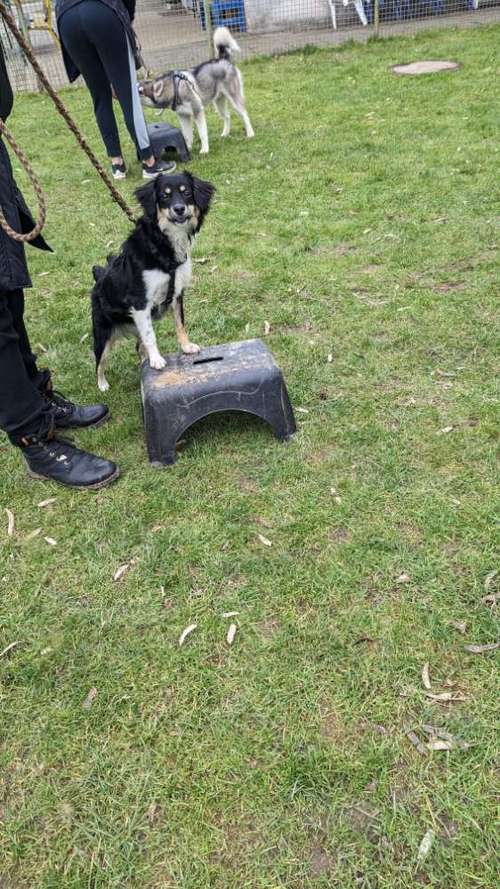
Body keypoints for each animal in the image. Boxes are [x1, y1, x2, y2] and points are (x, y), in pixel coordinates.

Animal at [91, 172, 214, 390]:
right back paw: (103, 384)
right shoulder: (140, 302)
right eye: (164, 196)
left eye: (186, 193)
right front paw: (156, 359)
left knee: (138, 347)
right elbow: (151, 335)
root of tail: (98, 278)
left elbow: (180, 323)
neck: (163, 244)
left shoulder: (177, 294)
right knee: (99, 362)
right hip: (103, 335)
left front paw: (186, 346)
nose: (179, 209)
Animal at [137, 26, 254, 155]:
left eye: (140, 91)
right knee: (227, 116)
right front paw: (187, 149)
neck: (175, 88)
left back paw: (250, 134)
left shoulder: (198, 111)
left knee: (244, 114)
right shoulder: (183, 116)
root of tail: (223, 59)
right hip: (218, 103)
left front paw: (204, 150)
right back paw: (225, 134)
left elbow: (202, 133)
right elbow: (187, 135)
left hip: (234, 99)